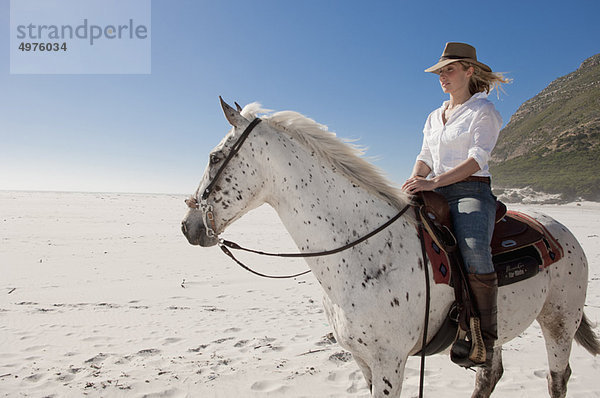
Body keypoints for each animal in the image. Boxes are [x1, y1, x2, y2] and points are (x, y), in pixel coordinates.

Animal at [183, 99, 600, 398]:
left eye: (214, 157)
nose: (188, 226)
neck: (364, 251)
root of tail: (560, 229)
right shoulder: (364, 361)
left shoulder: (390, 362)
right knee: (490, 375)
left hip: (559, 321)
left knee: (558, 378)